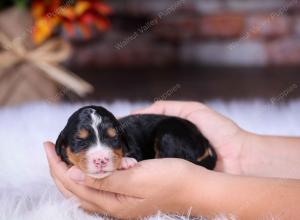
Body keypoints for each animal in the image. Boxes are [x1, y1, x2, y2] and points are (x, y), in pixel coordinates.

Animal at [55, 105, 217, 179]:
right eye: (80, 140)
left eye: (114, 138)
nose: (101, 160)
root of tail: (204, 140)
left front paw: (125, 161)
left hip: (169, 134)